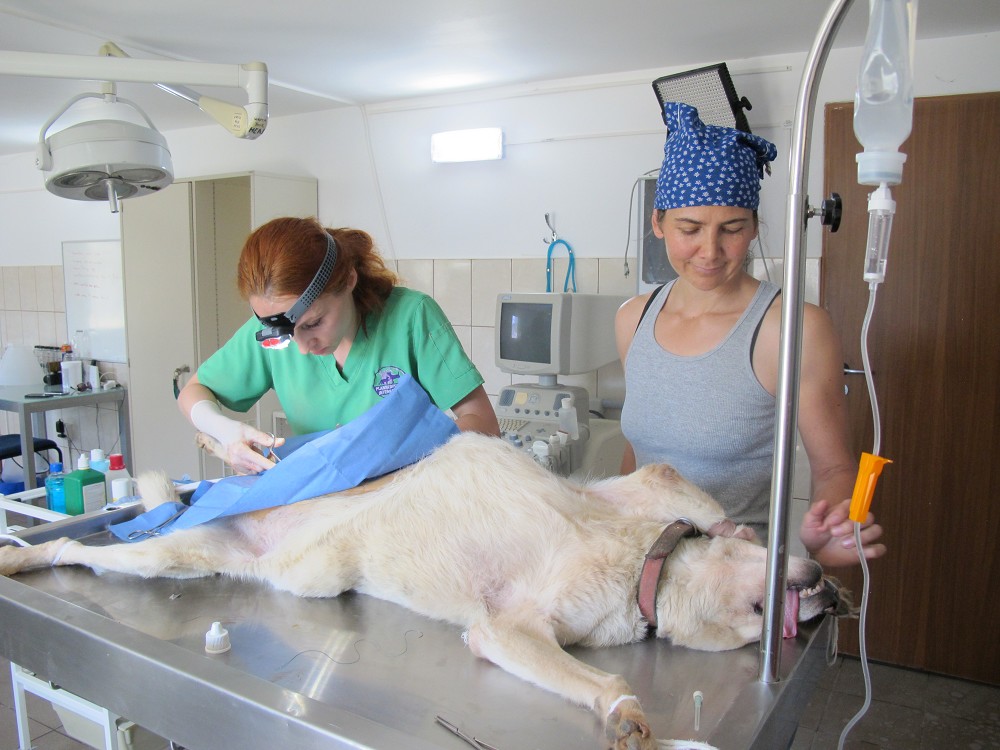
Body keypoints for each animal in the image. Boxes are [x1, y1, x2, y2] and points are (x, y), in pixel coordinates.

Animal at [0, 432, 844, 748]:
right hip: (170, 555)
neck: (648, 565)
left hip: (231, 562)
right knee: (81, 547)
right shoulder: (509, 627)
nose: (833, 589)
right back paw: (21, 559)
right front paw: (629, 714)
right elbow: (603, 680)